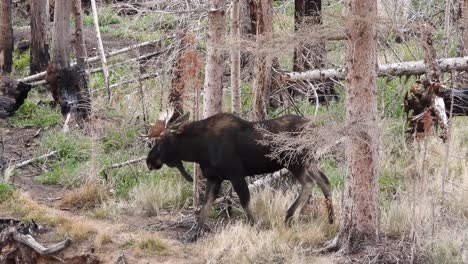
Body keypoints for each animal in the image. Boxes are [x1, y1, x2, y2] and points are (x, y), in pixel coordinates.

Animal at [144, 108, 334, 240]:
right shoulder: (215, 178)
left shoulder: (235, 174)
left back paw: (289, 215)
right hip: (308, 160)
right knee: (324, 181)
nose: (149, 161)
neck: (198, 150)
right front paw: (194, 235)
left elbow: (245, 203)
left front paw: (256, 227)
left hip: (294, 161)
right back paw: (331, 219)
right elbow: (205, 207)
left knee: (309, 183)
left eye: (160, 141)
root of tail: (315, 128)